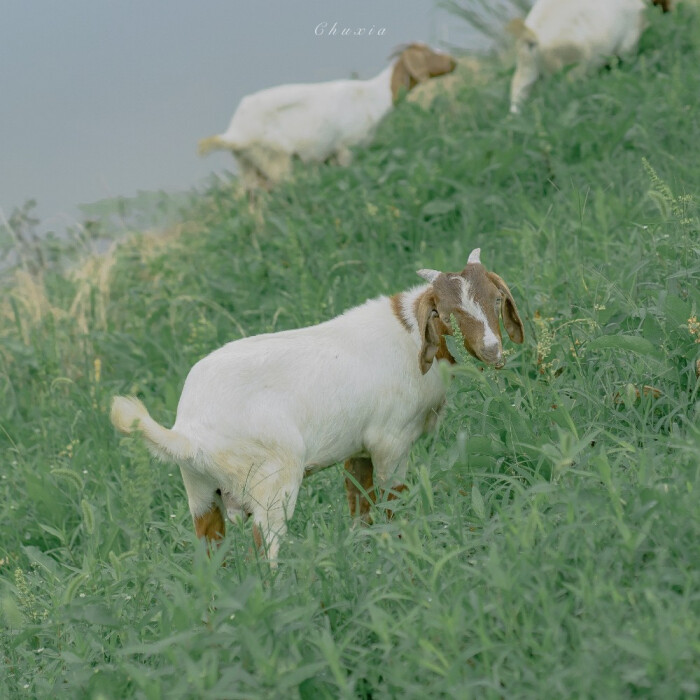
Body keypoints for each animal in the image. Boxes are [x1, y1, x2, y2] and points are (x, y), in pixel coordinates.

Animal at [200, 45, 456, 190]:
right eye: (429, 54)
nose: (454, 62)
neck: (374, 95)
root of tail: (234, 133)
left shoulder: (330, 156)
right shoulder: (347, 149)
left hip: (249, 166)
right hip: (275, 161)